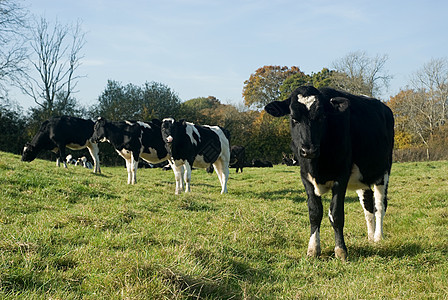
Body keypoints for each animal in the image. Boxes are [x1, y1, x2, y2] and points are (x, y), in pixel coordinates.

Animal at [264, 85, 394, 258]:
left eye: (321, 117)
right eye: (293, 118)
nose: (308, 150)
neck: (317, 165)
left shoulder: (341, 177)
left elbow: (336, 214)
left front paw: (341, 250)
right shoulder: (306, 177)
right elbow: (314, 213)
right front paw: (313, 249)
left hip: (383, 172)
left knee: (380, 205)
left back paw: (379, 237)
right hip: (362, 179)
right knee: (368, 207)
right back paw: (370, 237)